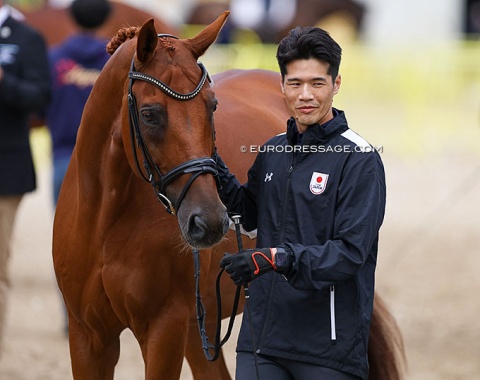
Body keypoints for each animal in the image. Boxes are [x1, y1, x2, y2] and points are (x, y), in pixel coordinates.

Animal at [52, 11, 404, 380]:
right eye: (149, 114)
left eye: (212, 105)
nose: (208, 221)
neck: (105, 218)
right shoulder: (89, 337)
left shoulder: (164, 328)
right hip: (198, 325)